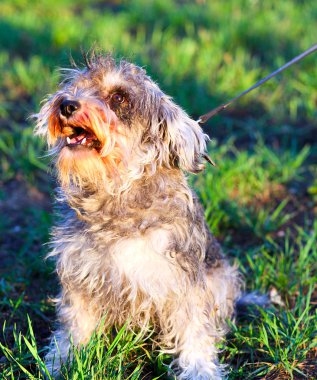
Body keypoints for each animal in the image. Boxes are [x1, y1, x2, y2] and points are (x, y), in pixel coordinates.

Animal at [34, 53, 241, 380]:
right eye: (76, 85)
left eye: (119, 97)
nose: (66, 104)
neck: (117, 195)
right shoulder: (80, 277)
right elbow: (74, 324)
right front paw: (61, 361)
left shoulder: (182, 283)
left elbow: (195, 331)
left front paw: (200, 370)